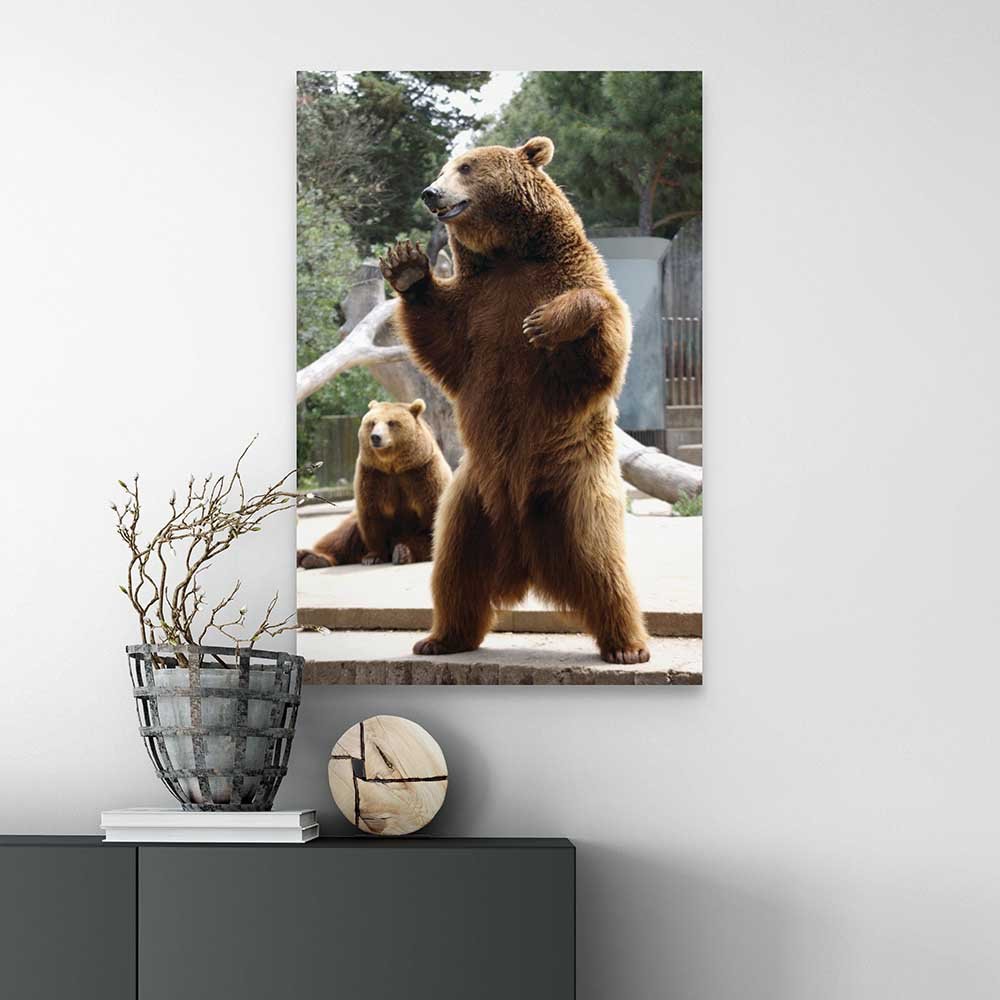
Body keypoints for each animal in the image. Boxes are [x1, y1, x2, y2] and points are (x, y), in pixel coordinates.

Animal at [297, 399, 452, 569]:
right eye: (372, 422)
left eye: (391, 422)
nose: (375, 437)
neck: (393, 466)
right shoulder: (373, 475)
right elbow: (372, 515)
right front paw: (374, 556)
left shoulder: (422, 474)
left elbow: (431, 519)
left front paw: (403, 552)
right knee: (341, 535)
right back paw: (313, 557)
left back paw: (401, 552)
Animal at [378, 136, 650, 664]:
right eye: (444, 167)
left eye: (465, 166)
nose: (431, 193)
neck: (509, 256)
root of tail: (525, 558)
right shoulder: (476, 310)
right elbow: (440, 336)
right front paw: (407, 265)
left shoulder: (569, 281)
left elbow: (603, 342)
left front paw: (547, 322)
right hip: (469, 499)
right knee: (454, 570)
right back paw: (440, 637)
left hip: (575, 483)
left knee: (603, 564)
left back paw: (627, 646)